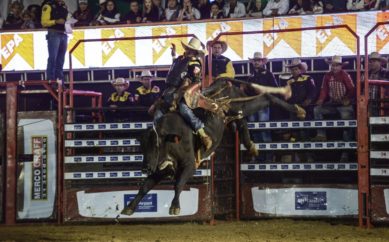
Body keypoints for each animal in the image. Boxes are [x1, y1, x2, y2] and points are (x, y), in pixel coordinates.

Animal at [119, 77, 304, 216]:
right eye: (142, 147)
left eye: (157, 144)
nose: (145, 168)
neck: (171, 139)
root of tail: (221, 81)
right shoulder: (160, 170)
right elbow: (145, 187)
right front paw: (129, 207)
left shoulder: (190, 165)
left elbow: (178, 184)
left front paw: (175, 206)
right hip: (235, 112)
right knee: (242, 121)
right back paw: (250, 145)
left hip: (242, 105)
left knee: (266, 98)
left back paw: (297, 109)